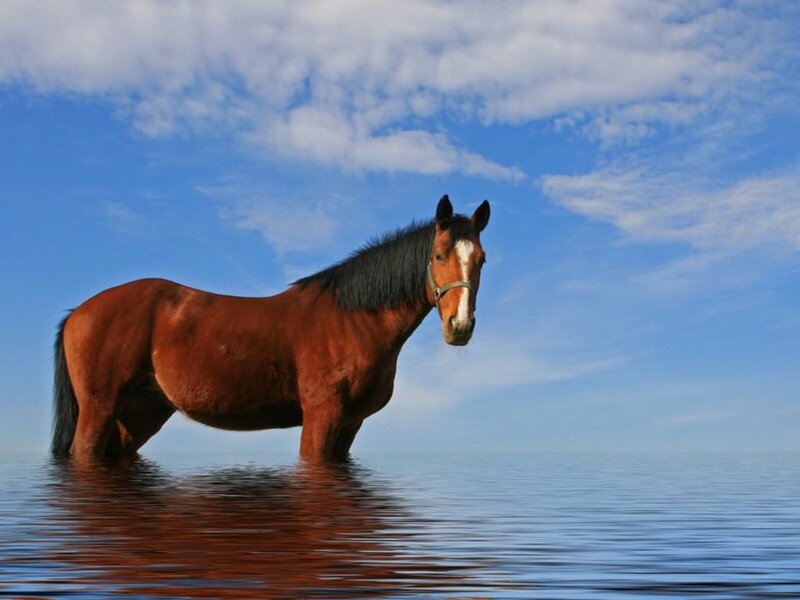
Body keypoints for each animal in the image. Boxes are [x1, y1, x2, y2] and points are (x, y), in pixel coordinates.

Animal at [52, 195, 490, 463]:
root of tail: (78, 313)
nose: (459, 326)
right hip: (99, 408)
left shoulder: (351, 424)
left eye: (481, 259)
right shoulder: (322, 417)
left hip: (140, 412)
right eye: (438, 255)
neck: (353, 320)